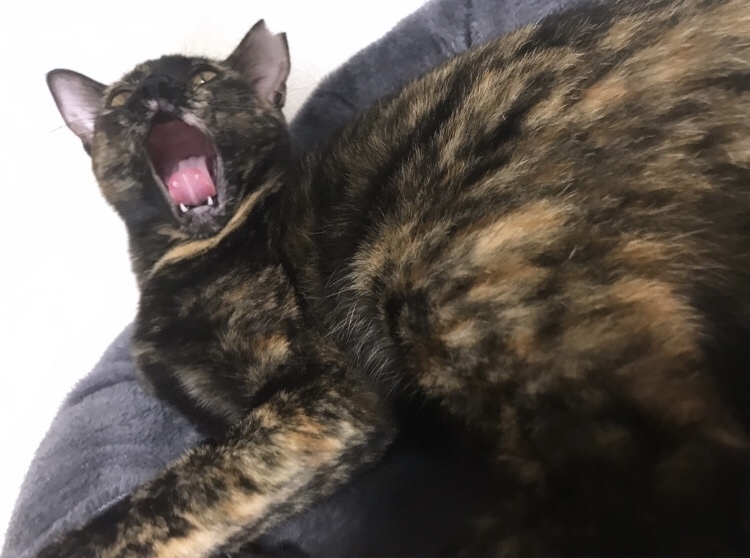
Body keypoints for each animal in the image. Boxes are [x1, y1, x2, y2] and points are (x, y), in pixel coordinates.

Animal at [42, 0, 750, 555]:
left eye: (207, 76)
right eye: (120, 101)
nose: (159, 89)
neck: (181, 256)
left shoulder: (324, 402)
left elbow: (162, 500)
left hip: (439, 271)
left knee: (664, 476)